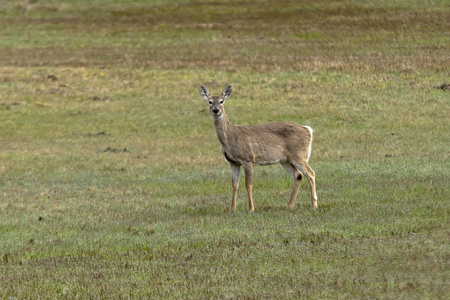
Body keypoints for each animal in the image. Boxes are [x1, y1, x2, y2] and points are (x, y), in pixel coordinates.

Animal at [200, 83, 316, 212]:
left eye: (221, 101)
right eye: (210, 101)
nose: (216, 110)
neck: (230, 136)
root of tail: (308, 130)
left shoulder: (248, 159)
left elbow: (248, 185)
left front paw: (251, 209)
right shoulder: (233, 162)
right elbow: (235, 185)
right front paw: (232, 209)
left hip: (298, 155)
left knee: (311, 173)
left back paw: (314, 205)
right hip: (285, 160)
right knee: (298, 176)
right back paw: (289, 206)